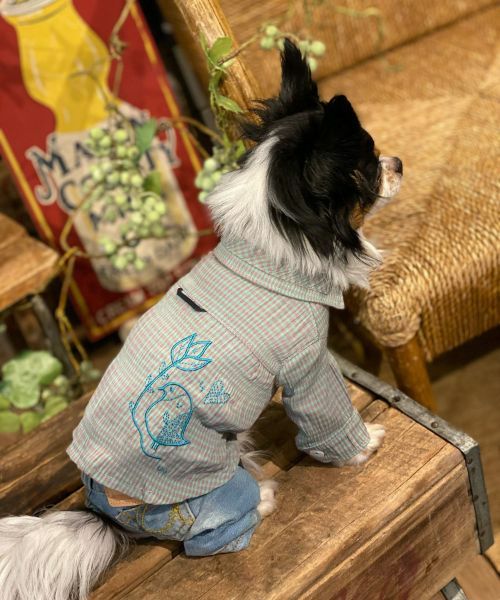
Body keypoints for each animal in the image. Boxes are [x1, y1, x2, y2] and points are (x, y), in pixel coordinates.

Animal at [0, 40, 401, 600]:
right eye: (369, 165)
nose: (399, 162)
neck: (268, 253)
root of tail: (103, 513)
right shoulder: (310, 367)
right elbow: (328, 416)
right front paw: (362, 448)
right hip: (202, 498)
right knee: (209, 534)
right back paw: (262, 495)